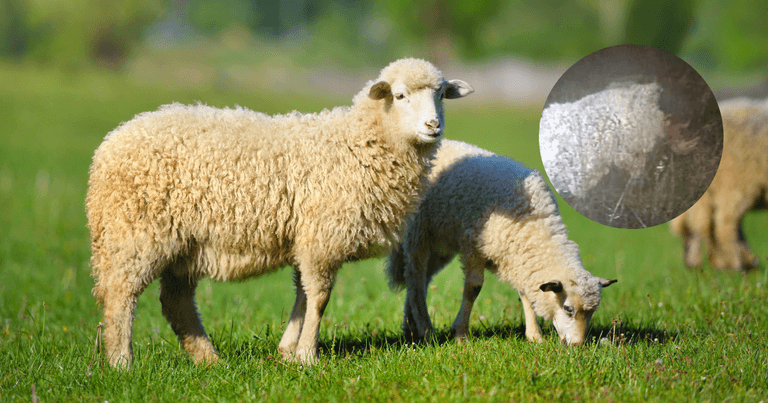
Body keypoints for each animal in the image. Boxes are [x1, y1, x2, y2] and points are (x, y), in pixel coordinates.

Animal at [85, 58, 474, 368]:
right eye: (401, 95)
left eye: (441, 94)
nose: (432, 126)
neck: (359, 144)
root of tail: (108, 146)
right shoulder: (322, 237)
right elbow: (319, 297)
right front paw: (307, 355)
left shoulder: (307, 237)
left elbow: (302, 293)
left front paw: (288, 350)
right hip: (135, 233)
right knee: (121, 296)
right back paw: (122, 362)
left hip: (185, 245)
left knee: (176, 302)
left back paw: (208, 360)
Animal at [387, 139, 616, 345]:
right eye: (568, 309)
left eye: (592, 312)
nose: (577, 345)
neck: (533, 225)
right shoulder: (474, 249)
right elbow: (473, 289)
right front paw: (460, 334)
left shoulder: (517, 258)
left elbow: (525, 294)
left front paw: (534, 336)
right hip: (419, 232)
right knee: (415, 278)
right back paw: (425, 329)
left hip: (440, 245)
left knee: (420, 280)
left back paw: (410, 327)